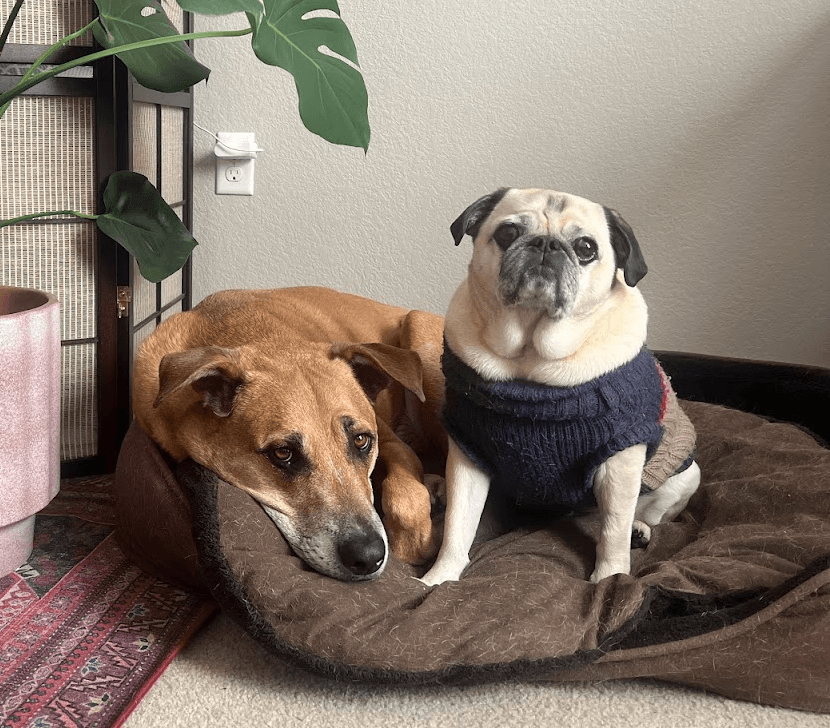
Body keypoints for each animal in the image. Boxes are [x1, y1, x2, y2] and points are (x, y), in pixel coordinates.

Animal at [133, 288, 448, 584]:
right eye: (283, 453)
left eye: (361, 440)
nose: (368, 557)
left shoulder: (393, 443)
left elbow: (406, 500)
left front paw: (421, 540)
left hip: (421, 339)